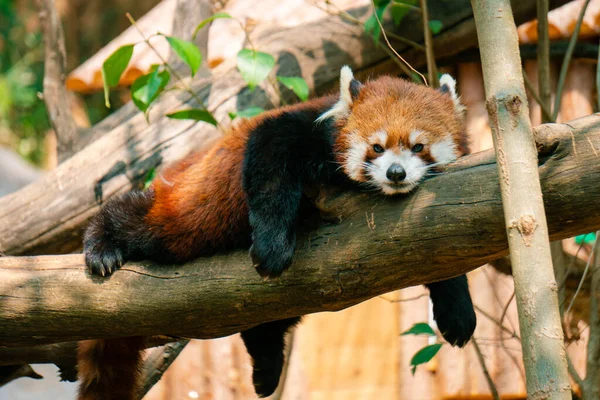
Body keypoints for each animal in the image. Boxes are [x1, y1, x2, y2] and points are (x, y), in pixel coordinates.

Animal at [79, 66, 476, 400]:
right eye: (376, 147)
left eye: (418, 147)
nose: (395, 173)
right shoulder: (296, 131)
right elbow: (271, 170)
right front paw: (272, 248)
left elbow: (444, 255)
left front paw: (457, 312)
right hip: (184, 214)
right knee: (143, 222)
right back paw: (102, 242)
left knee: (268, 325)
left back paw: (266, 367)